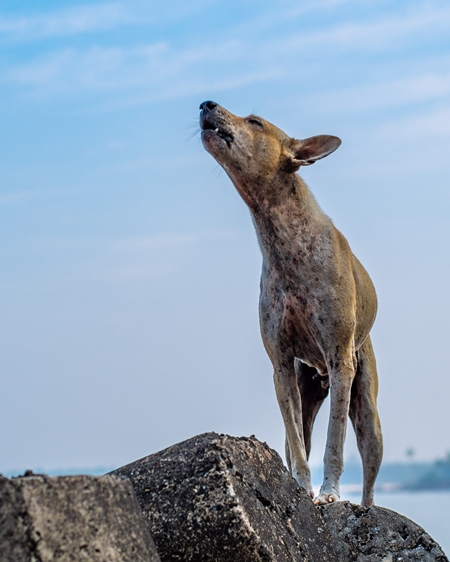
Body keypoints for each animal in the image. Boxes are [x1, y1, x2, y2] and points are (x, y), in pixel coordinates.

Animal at [200, 100, 384, 508]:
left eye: (254, 121)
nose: (206, 104)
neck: (285, 243)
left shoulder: (340, 359)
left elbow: (335, 442)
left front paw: (329, 493)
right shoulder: (282, 365)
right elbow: (296, 442)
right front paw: (301, 487)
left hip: (367, 405)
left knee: (369, 466)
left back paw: (365, 507)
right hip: (307, 386)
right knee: (300, 434)